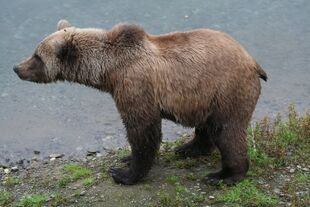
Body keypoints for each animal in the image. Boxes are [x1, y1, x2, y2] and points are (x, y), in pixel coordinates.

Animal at [13, 19, 266, 184]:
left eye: (37, 56)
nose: (16, 67)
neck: (109, 71)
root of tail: (253, 61)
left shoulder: (135, 85)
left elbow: (142, 129)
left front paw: (124, 173)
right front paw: (127, 158)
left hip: (227, 90)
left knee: (227, 132)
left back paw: (224, 175)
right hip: (204, 98)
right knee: (207, 127)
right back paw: (189, 148)